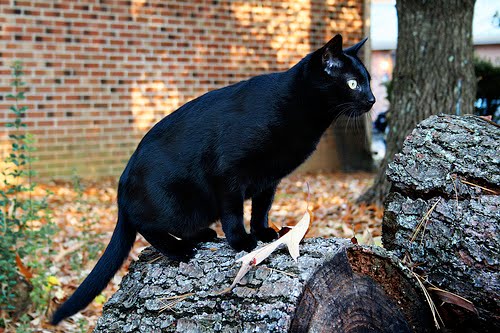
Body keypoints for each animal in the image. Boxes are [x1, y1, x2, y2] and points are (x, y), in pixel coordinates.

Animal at [52, 34, 376, 324]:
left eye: (368, 81)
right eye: (352, 83)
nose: (372, 99)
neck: (298, 110)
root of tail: (122, 187)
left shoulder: (268, 179)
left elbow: (261, 208)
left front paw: (263, 232)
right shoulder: (228, 173)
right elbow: (233, 211)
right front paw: (240, 240)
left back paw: (202, 235)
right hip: (177, 204)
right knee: (147, 225)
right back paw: (179, 249)